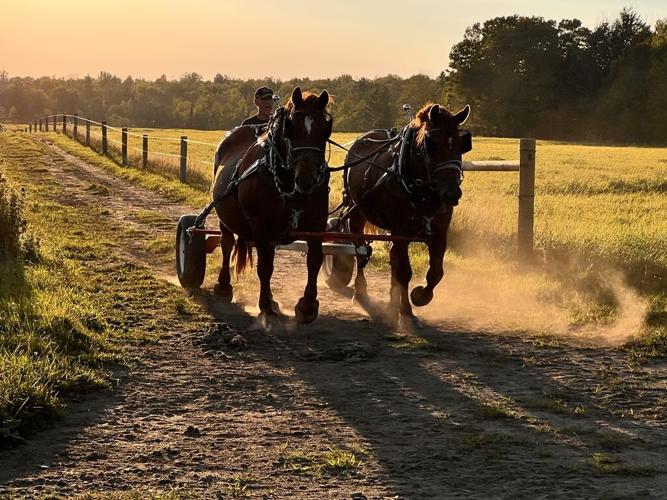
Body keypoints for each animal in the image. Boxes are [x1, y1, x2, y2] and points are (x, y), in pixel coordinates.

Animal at [211, 86, 332, 325]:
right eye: (290, 128)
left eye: (325, 130)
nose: (306, 179)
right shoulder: (261, 227)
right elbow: (265, 268)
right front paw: (265, 306)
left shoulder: (316, 224)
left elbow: (314, 261)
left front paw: (308, 305)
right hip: (225, 218)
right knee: (227, 243)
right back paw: (224, 285)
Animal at [342, 103, 472, 328]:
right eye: (432, 144)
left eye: (460, 144)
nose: (452, 194)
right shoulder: (400, 233)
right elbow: (404, 271)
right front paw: (407, 311)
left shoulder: (439, 234)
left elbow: (436, 272)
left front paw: (420, 296)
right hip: (356, 212)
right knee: (359, 250)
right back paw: (360, 291)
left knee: (391, 258)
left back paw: (391, 302)